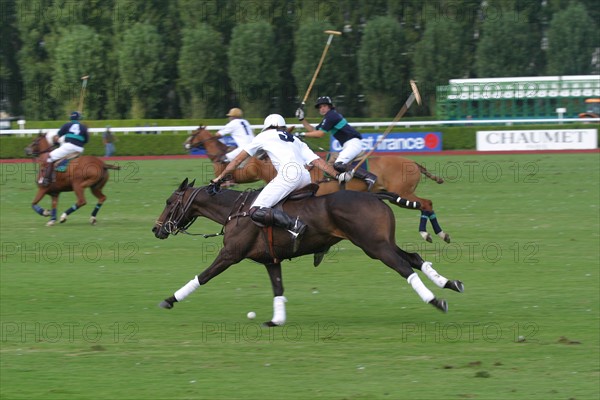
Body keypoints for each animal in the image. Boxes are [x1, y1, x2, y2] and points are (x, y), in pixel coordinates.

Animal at [152, 180, 462, 326]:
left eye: (169, 202)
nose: (157, 229)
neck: (235, 211)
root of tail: (374, 194)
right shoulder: (270, 260)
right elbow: (278, 288)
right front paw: (276, 320)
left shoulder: (231, 254)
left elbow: (203, 276)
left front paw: (170, 299)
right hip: (382, 242)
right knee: (414, 258)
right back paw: (450, 283)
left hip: (374, 247)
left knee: (404, 267)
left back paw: (435, 300)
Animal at [186, 126, 450, 242]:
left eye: (244, 162)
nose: (224, 176)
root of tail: (414, 162)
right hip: (397, 195)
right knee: (425, 204)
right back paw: (435, 233)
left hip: (402, 191)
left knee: (426, 203)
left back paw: (433, 233)